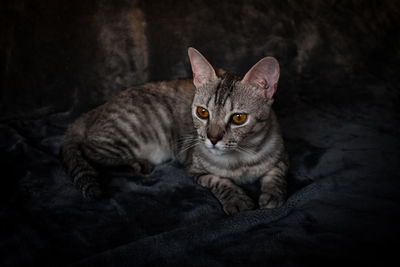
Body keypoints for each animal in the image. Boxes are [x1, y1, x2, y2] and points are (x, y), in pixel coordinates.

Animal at [61, 48, 288, 216]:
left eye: (238, 118)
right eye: (202, 112)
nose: (213, 138)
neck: (241, 161)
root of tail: (95, 110)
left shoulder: (281, 155)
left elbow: (277, 175)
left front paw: (272, 196)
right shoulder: (195, 168)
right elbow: (219, 181)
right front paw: (237, 199)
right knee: (89, 150)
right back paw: (136, 163)